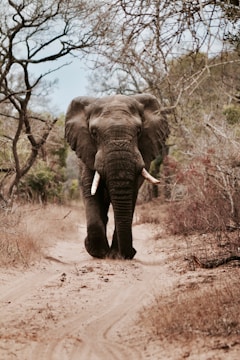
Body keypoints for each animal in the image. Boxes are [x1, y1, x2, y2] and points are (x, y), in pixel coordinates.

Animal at [64, 94, 168, 260]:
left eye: (139, 131)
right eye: (94, 133)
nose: (132, 252)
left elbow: (131, 195)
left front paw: (115, 255)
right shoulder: (87, 153)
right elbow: (91, 191)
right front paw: (98, 253)